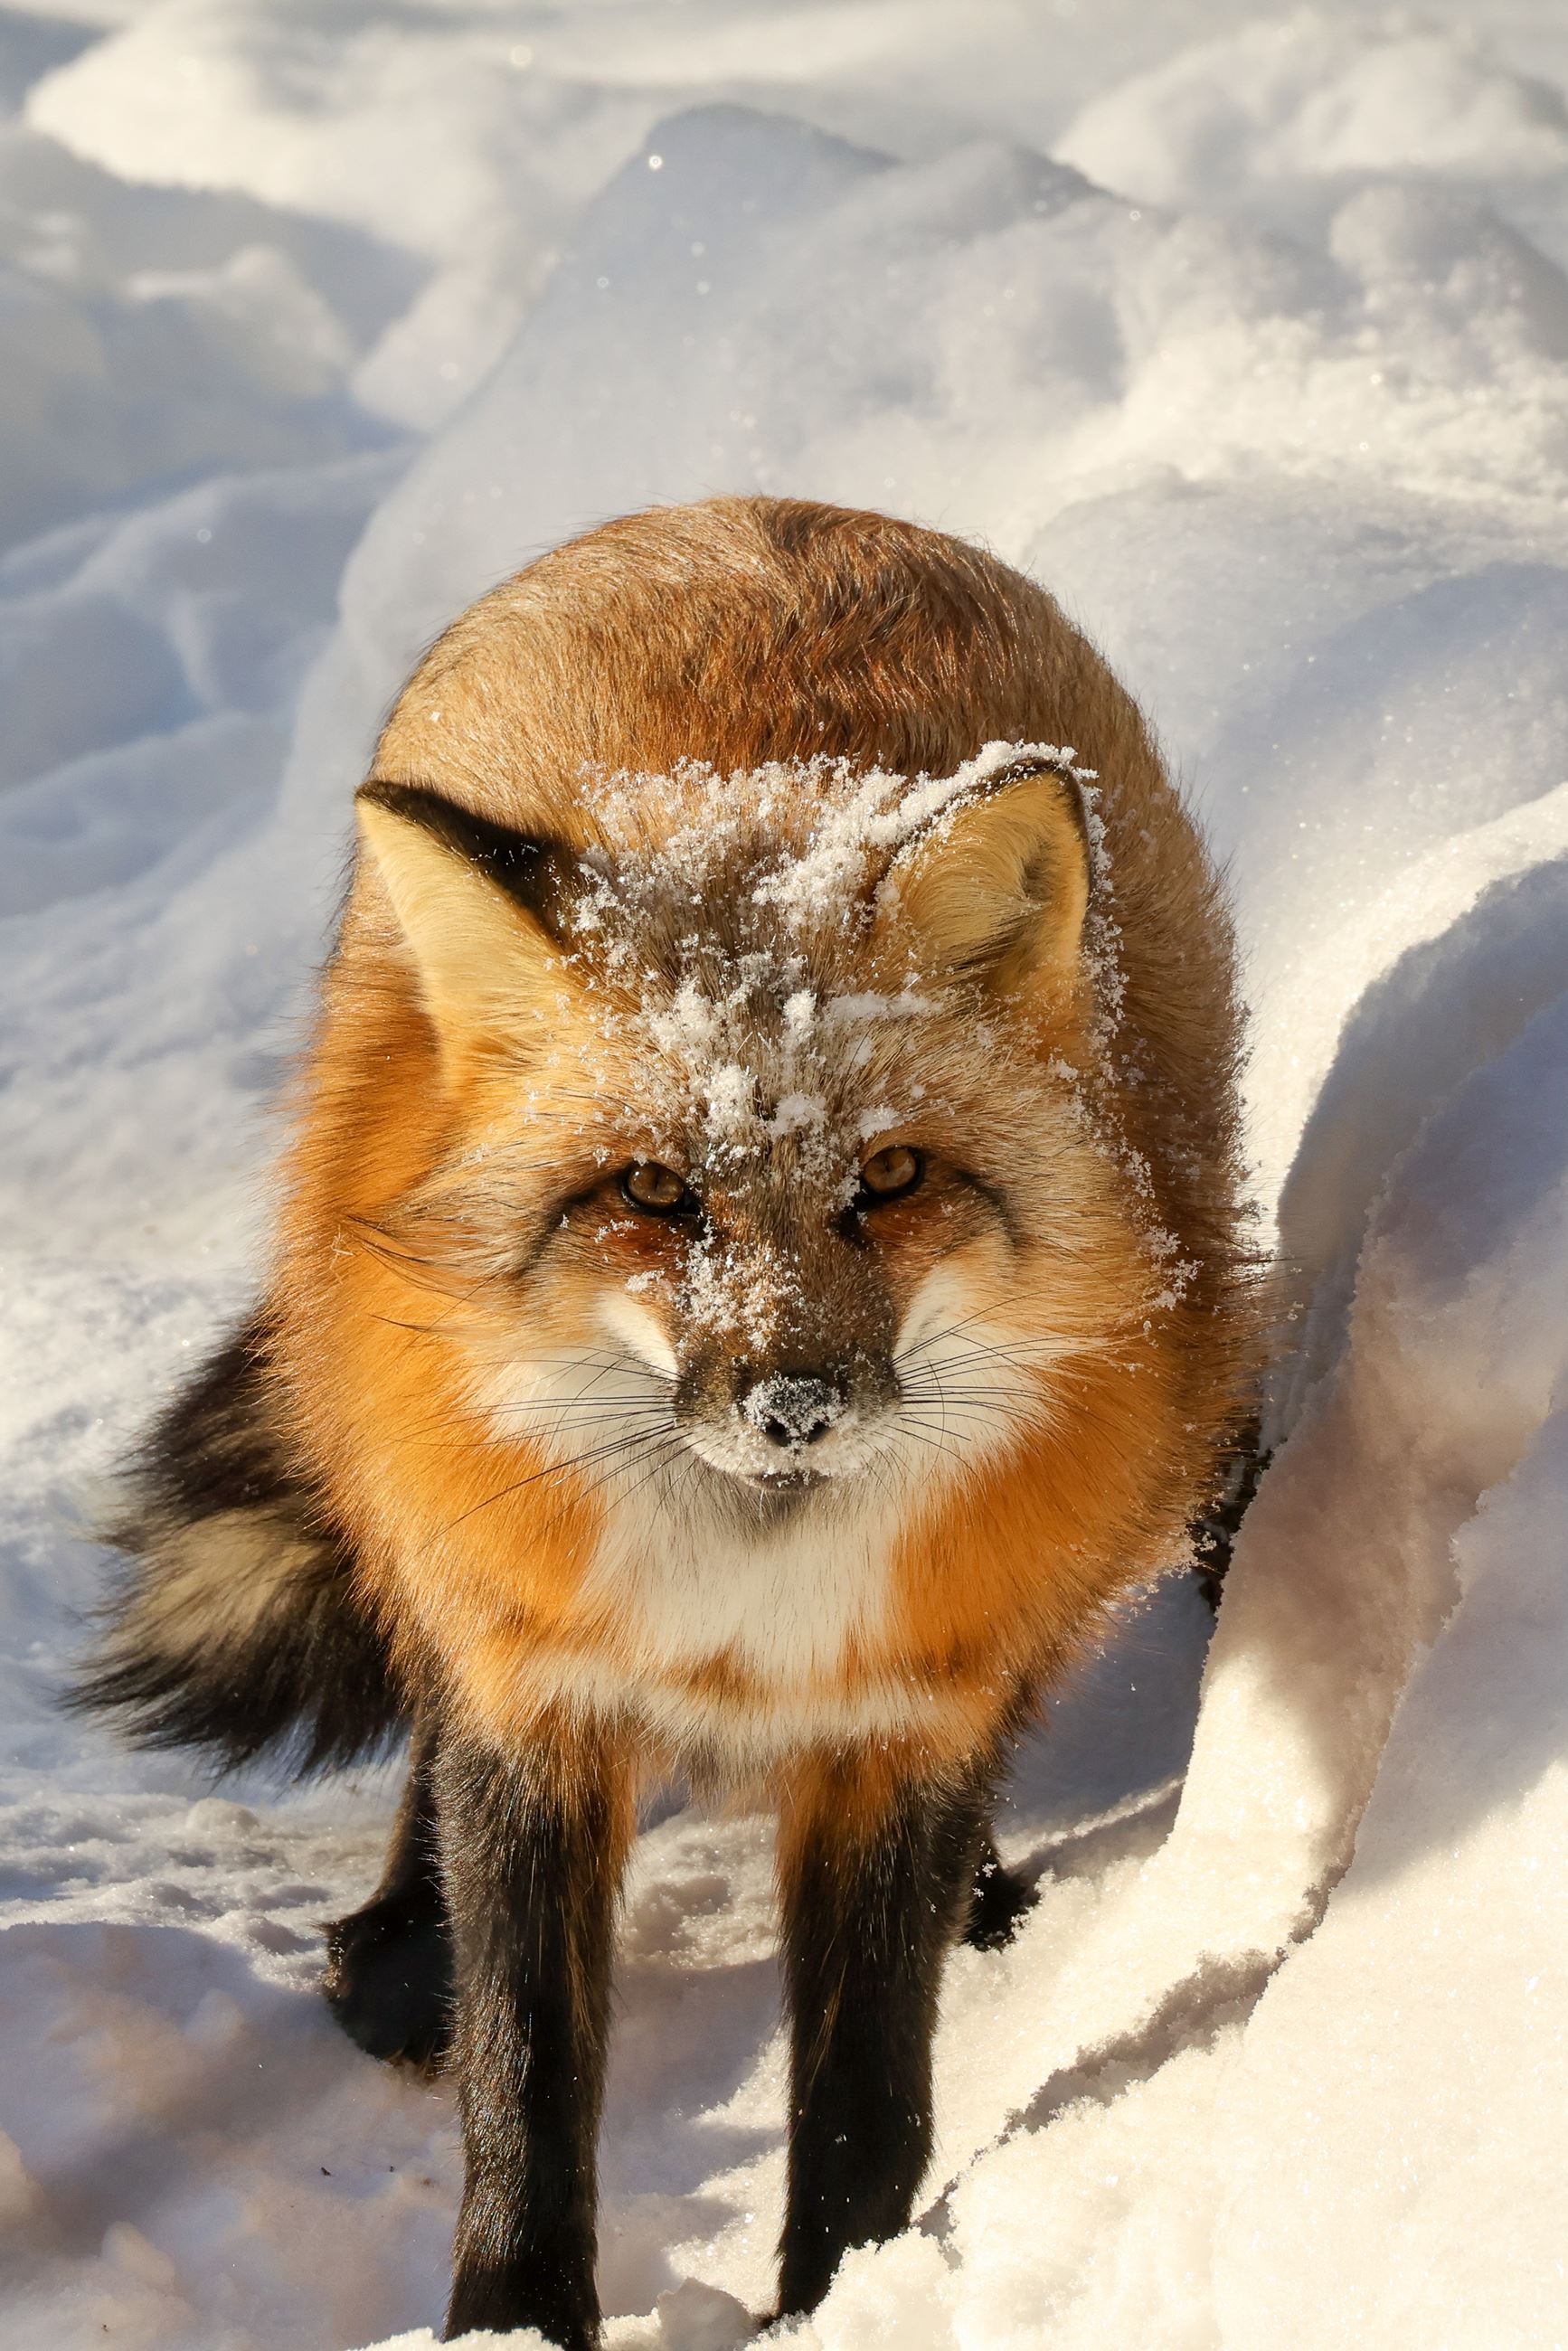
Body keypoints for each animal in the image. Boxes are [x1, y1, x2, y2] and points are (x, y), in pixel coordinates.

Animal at [73, 495, 1257, 2346]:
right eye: (648, 1194)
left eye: (890, 1177)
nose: (792, 1407)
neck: (741, 1609)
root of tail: (754, 513)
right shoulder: (537, 1694)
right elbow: (529, 2084)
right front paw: (505, 2316)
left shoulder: (901, 1723)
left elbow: (866, 2104)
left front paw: (839, 2301)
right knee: (423, 1757)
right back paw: (395, 1946)